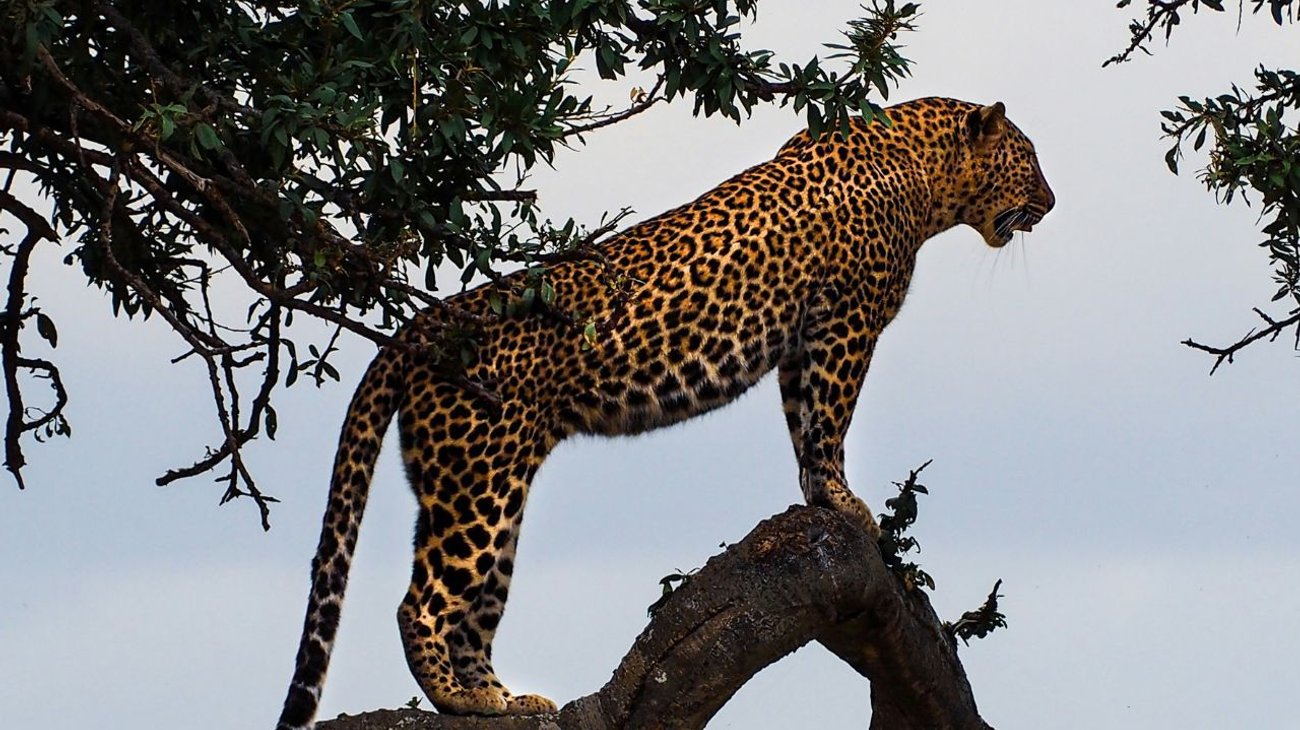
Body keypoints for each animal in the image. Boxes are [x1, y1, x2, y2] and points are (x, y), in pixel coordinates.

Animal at [276, 96, 1055, 728]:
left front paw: (818, 496)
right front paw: (845, 502)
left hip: (482, 489)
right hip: (479, 486)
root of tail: (428, 323)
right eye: (1028, 161)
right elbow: (831, 419)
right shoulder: (847, 321)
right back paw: (463, 700)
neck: (924, 174)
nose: (1051, 202)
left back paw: (502, 698)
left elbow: (805, 423)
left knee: (474, 607)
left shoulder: (803, 340)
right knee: (424, 603)